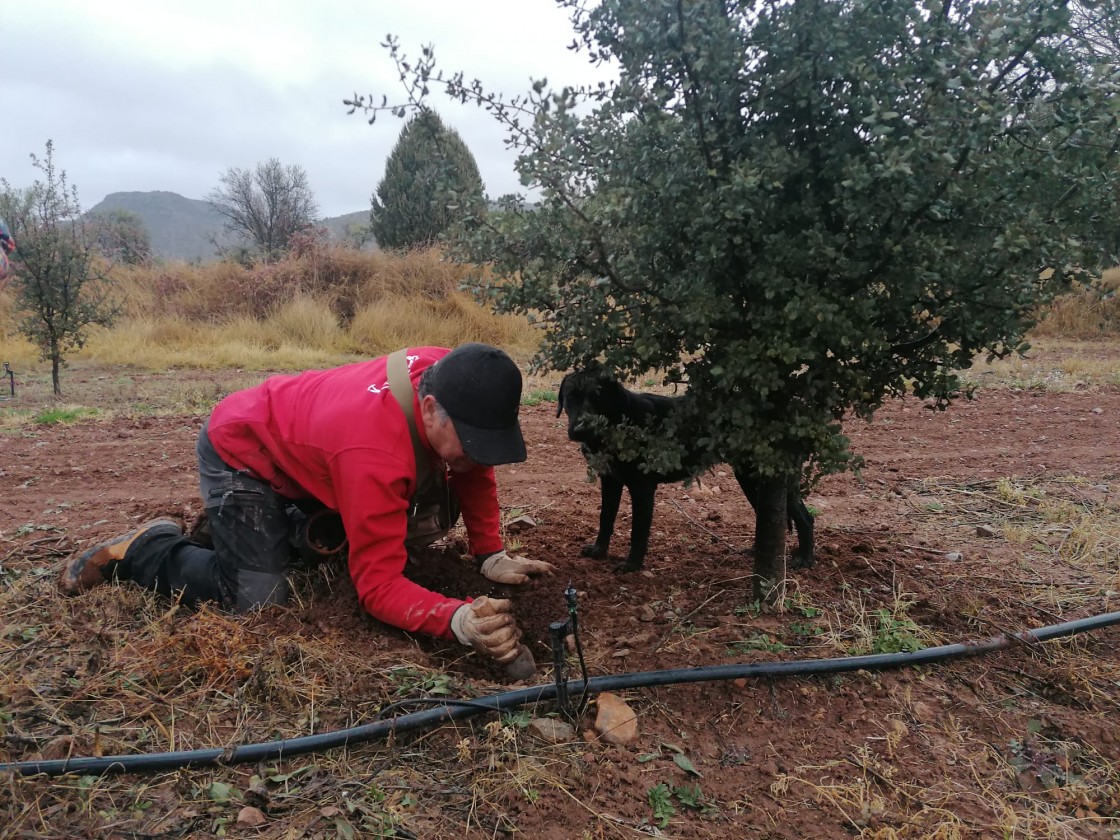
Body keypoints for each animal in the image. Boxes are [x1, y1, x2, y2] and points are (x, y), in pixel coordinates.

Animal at [557, 371, 815, 577]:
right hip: (750, 479)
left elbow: (638, 531)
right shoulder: (610, 481)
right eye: (571, 397)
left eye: (597, 398)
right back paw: (757, 551)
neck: (619, 421)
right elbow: (605, 518)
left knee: (806, 517)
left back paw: (805, 559)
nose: (580, 428)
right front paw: (599, 551)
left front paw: (632, 565)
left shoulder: (642, 488)